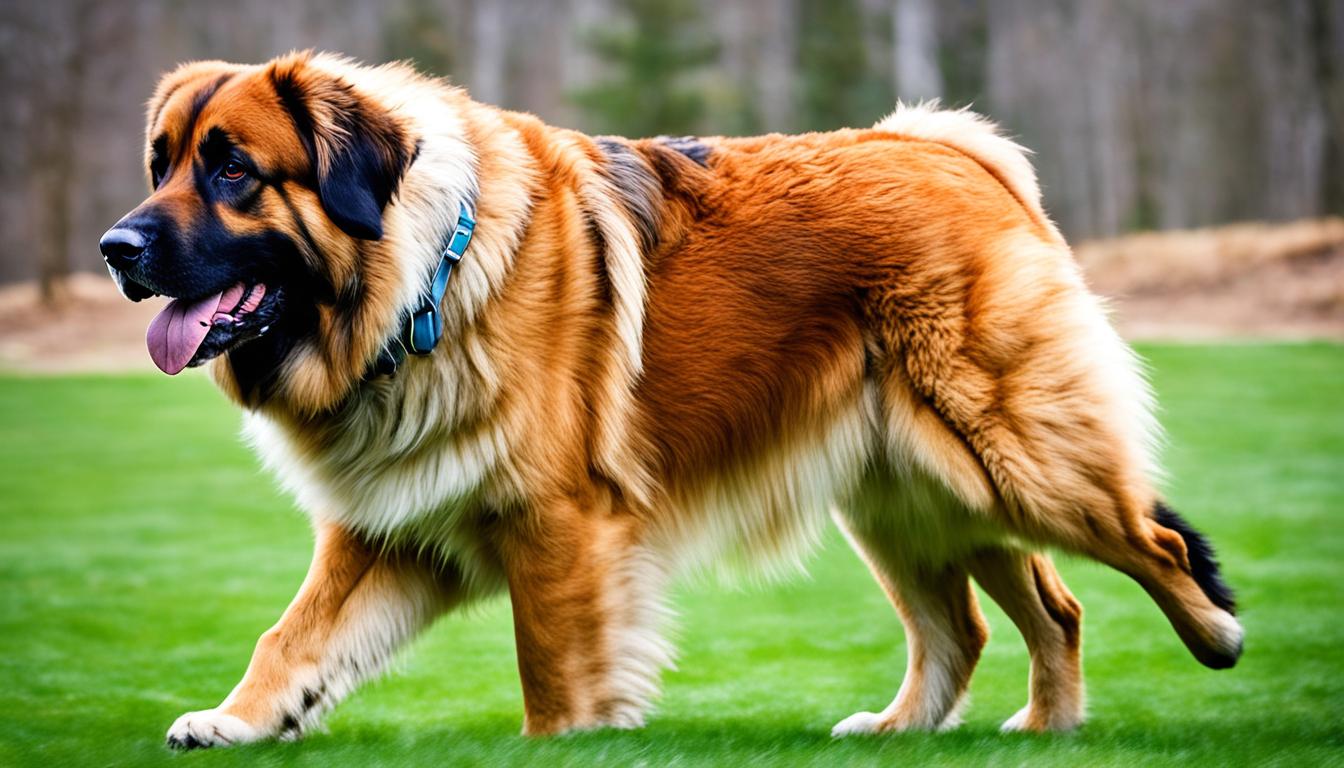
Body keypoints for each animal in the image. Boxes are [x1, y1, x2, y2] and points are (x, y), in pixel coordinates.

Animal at [99, 51, 1241, 747]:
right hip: (915, 488)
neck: (424, 278)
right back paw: (975, 730)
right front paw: (240, 720)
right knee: (1003, 616)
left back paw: (1213, 639)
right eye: (161, 165)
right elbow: (295, 636)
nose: (117, 248)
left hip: (1013, 458)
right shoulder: (392, 522)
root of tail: (944, 145)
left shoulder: (557, 527)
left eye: (234, 171)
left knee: (1148, 545)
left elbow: (552, 669)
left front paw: (565, 745)